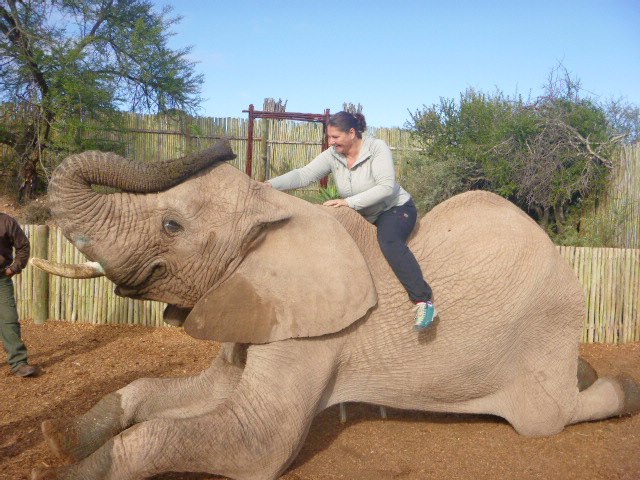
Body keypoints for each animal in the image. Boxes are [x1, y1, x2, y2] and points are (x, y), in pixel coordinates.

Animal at [31, 139, 640, 480]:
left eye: (172, 226)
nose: (222, 146)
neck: (274, 211)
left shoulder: (318, 334)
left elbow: (256, 442)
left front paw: (58, 474)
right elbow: (170, 392)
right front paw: (58, 442)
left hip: (545, 330)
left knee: (548, 415)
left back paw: (623, 390)